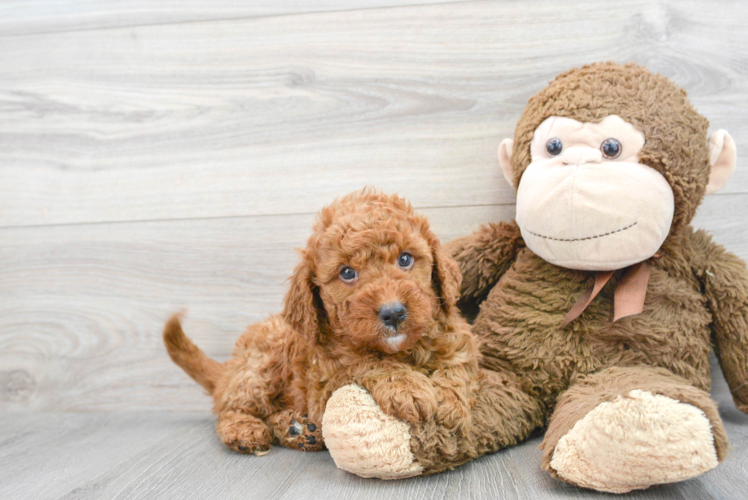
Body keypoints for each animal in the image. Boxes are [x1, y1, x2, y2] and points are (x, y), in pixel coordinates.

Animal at [162, 189, 480, 456]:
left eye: (405, 259)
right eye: (347, 272)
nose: (393, 313)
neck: (402, 349)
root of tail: (229, 371)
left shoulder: (458, 340)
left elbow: (457, 367)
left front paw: (450, 404)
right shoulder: (325, 383)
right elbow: (367, 362)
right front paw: (407, 386)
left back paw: (300, 430)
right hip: (261, 365)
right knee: (230, 407)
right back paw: (246, 430)